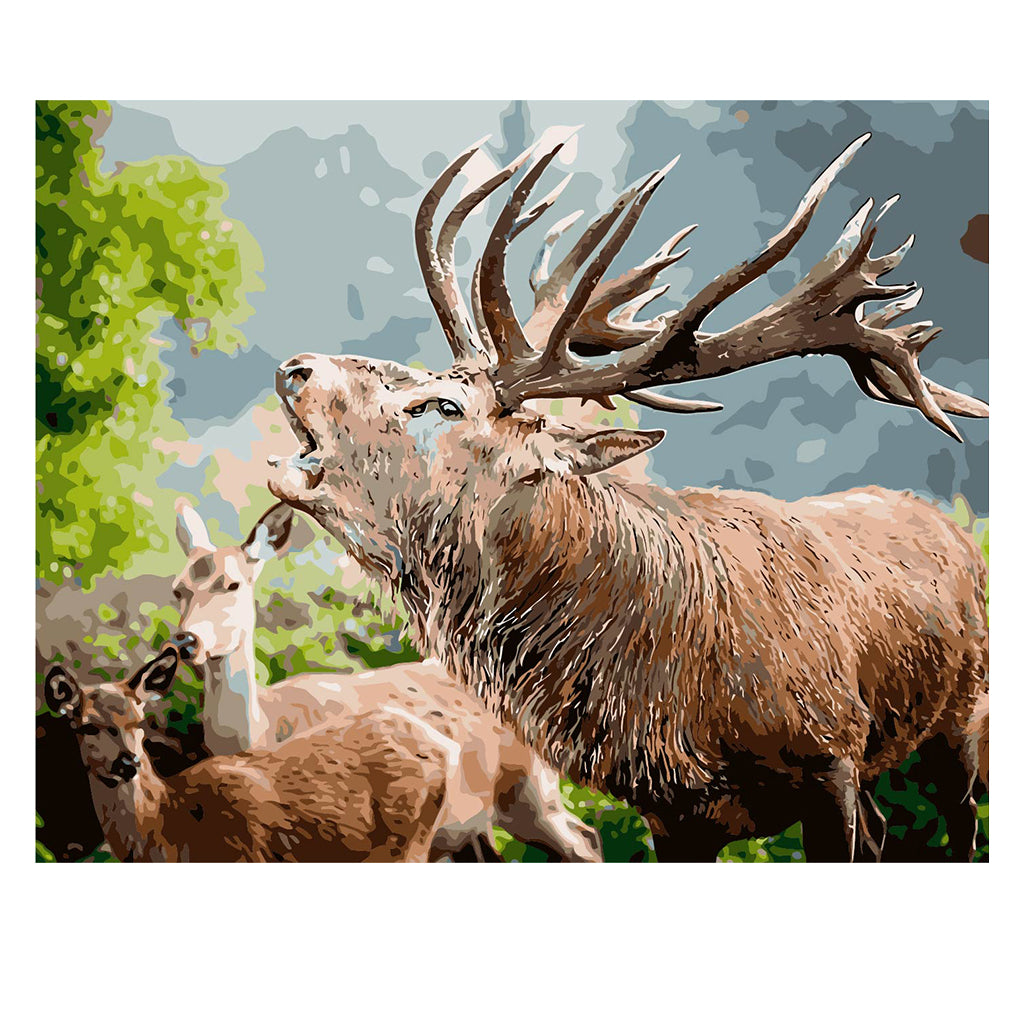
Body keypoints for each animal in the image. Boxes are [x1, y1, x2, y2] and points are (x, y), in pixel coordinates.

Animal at [43, 649, 461, 862]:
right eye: (85, 726)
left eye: (139, 720)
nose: (127, 763)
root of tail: (446, 748)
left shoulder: (245, 853)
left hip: (407, 840)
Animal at [170, 498, 603, 862]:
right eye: (178, 589)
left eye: (232, 583)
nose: (187, 641)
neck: (265, 728)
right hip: (474, 825)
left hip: (530, 789)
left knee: (586, 839)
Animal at [267, 127, 989, 862]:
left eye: (441, 404)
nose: (296, 368)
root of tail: (953, 527)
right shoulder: (670, 815)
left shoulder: (830, 756)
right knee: (882, 832)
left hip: (962, 711)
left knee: (961, 819)